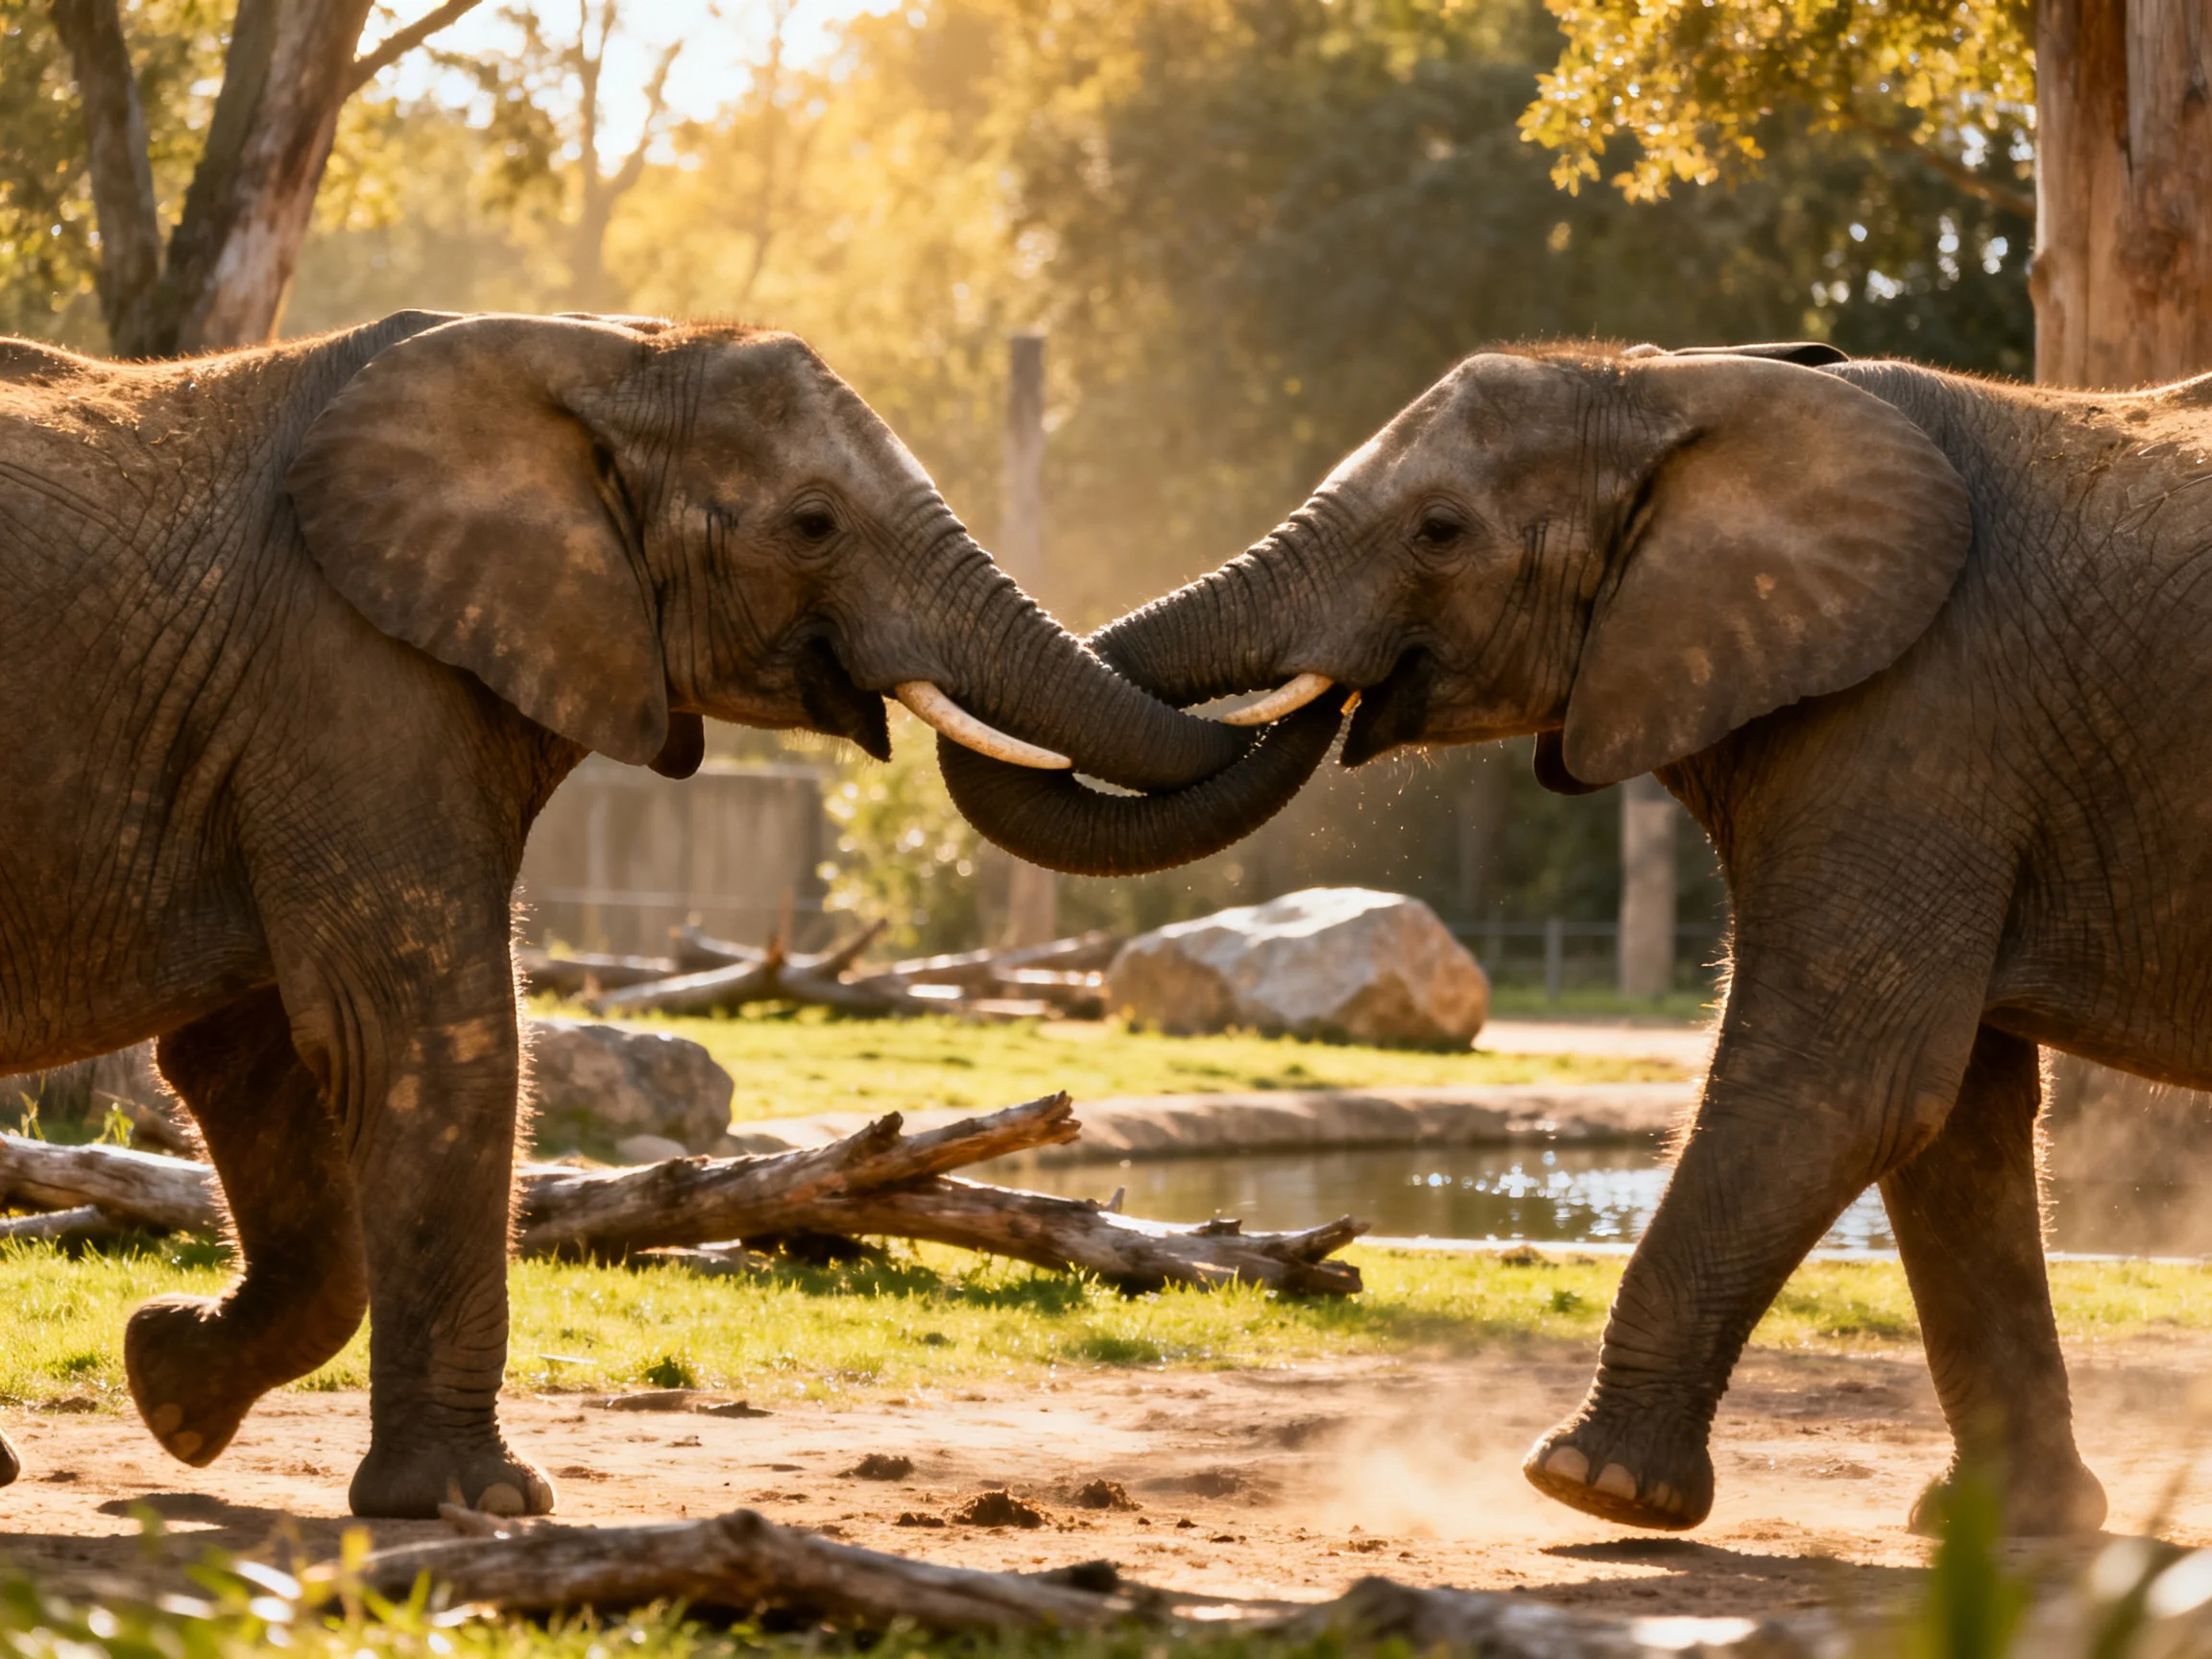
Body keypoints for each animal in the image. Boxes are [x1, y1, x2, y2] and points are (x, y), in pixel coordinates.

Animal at [0, 310, 1337, 1516]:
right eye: (814, 524)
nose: (1342, 681)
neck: (596, 354)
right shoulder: (343, 677)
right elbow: (422, 1036)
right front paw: (483, 1505)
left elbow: (251, 1060)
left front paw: (171, 1386)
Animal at [949, 337, 2212, 1536]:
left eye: (1440, 531)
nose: (1337, 700)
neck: (1691, 385)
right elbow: (1959, 1121)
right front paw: (1995, 1528)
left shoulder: (1929, 711)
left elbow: (1848, 1080)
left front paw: (1590, 1486)